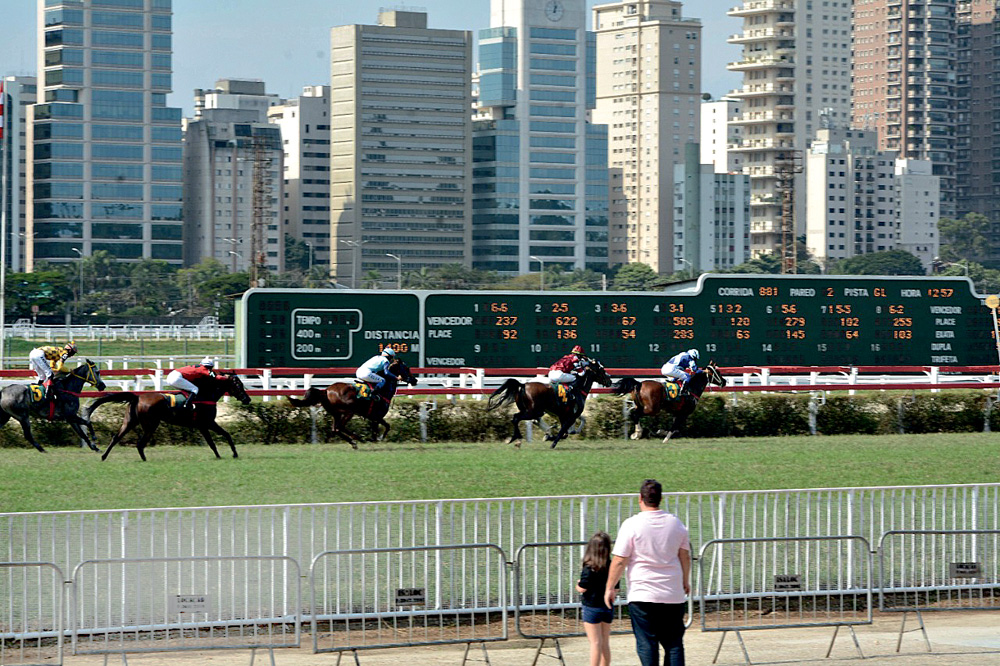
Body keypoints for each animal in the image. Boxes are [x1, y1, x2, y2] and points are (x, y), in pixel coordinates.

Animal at [84, 370, 252, 460]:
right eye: (238, 384)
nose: (247, 399)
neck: (205, 395)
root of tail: (137, 397)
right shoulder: (207, 423)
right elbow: (221, 438)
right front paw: (231, 454)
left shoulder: (203, 425)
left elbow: (217, 440)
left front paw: (224, 455)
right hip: (151, 425)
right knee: (140, 443)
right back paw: (144, 460)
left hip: (130, 421)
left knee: (116, 437)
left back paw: (104, 456)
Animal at [286, 358, 418, 446]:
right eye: (407, 368)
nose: (415, 380)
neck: (383, 390)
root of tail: (326, 390)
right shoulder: (376, 417)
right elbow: (385, 427)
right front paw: (380, 438)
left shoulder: (373, 418)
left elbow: (380, 429)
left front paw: (376, 439)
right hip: (348, 412)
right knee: (339, 427)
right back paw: (357, 438)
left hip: (336, 414)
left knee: (335, 429)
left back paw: (354, 441)